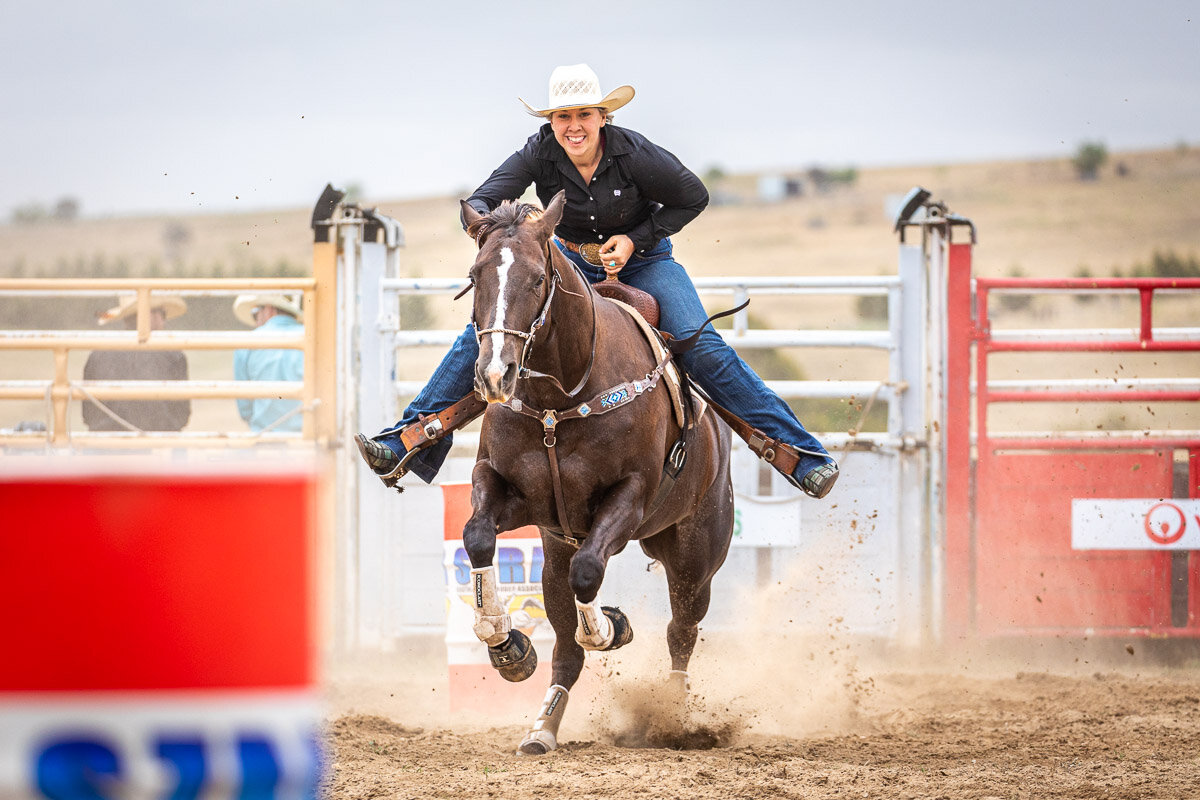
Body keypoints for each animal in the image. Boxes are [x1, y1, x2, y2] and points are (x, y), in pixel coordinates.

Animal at [458, 190, 734, 753]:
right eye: (476, 275)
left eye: (536, 279)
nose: (496, 375)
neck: (557, 403)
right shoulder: (508, 489)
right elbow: (477, 536)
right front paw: (505, 641)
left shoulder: (628, 498)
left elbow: (590, 574)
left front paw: (610, 626)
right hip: (556, 553)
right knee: (566, 648)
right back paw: (542, 727)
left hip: (695, 558)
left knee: (681, 632)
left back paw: (672, 716)